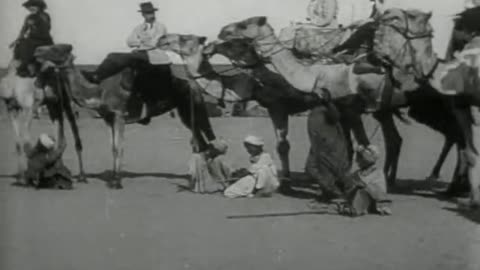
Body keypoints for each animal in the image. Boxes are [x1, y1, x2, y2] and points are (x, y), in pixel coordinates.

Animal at [0, 44, 86, 188]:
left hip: (62, 103)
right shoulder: (14, 108)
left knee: (73, 134)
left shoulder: (31, 105)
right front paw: (22, 178)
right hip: (53, 105)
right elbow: (19, 143)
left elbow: (27, 141)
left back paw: (80, 176)